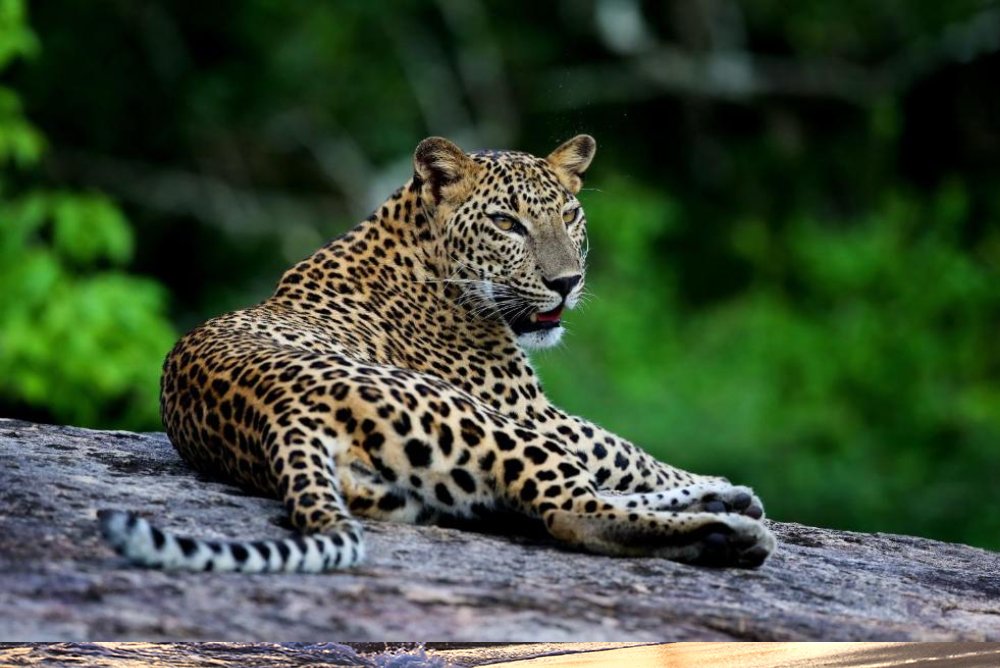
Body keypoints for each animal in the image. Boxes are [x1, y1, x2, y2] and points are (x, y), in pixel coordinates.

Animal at [99, 134, 776, 572]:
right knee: (568, 508)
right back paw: (729, 533)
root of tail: (278, 417)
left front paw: (717, 485)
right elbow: (622, 448)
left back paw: (726, 510)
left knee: (540, 501)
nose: (567, 282)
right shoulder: (529, 408)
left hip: (426, 490)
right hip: (485, 423)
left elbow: (618, 452)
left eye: (569, 214)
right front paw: (712, 481)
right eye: (507, 224)